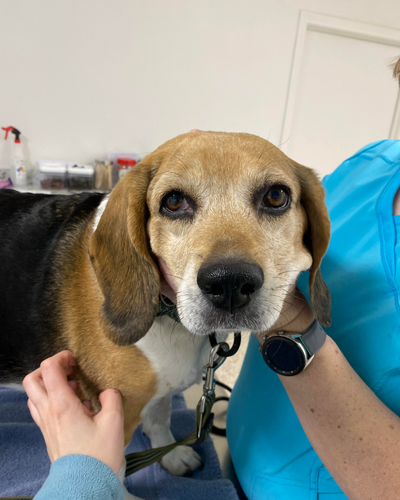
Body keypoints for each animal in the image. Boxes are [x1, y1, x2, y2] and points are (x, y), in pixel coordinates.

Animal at [0, 131, 330, 498]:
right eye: (173, 202)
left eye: (276, 196)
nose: (229, 282)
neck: (167, 313)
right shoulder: (112, 412)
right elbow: (114, 465)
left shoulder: (159, 391)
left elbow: (159, 418)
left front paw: (170, 455)